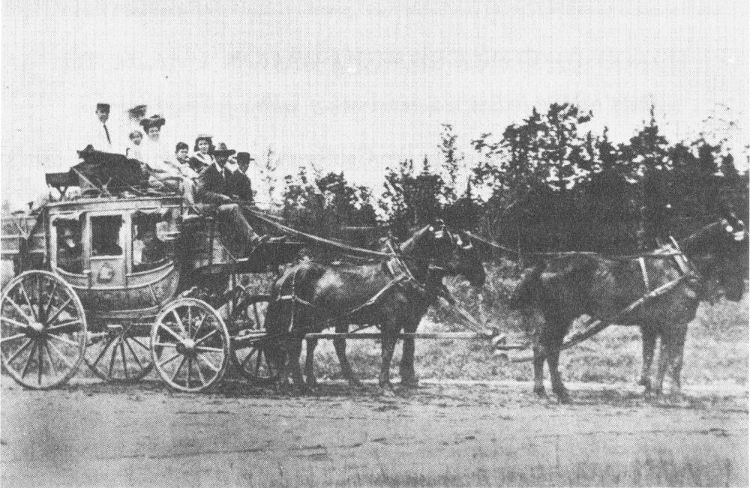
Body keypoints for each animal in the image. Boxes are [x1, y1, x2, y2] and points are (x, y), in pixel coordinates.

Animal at [264, 221, 486, 393]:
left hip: (317, 320)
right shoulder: (392, 321)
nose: (481, 276)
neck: (402, 273)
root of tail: (287, 273)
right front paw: (386, 384)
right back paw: (298, 384)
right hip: (299, 319)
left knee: (315, 345)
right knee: (293, 346)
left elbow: (409, 345)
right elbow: (388, 349)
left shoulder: (411, 319)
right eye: (455, 246)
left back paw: (318, 382)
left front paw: (408, 379)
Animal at [509, 209, 747, 402]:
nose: (738, 292)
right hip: (558, 318)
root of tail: (545, 264)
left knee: (547, 349)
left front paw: (654, 391)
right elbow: (675, 360)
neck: (679, 267)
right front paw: (676, 395)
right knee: (545, 349)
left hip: (557, 319)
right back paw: (549, 390)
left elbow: (657, 357)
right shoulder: (677, 323)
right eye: (739, 243)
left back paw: (553, 390)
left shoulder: (657, 324)